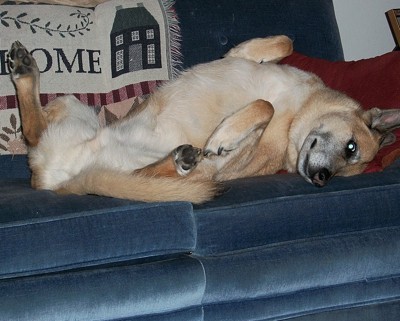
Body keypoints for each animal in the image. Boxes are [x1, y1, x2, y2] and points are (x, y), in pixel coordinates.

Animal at [7, 36, 400, 202]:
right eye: (351, 148)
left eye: (347, 169)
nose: (322, 179)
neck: (298, 113)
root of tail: (61, 181)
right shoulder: (244, 58)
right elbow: (282, 44)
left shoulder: (231, 161)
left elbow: (263, 106)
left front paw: (224, 135)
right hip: (73, 104)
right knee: (35, 128)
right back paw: (25, 70)